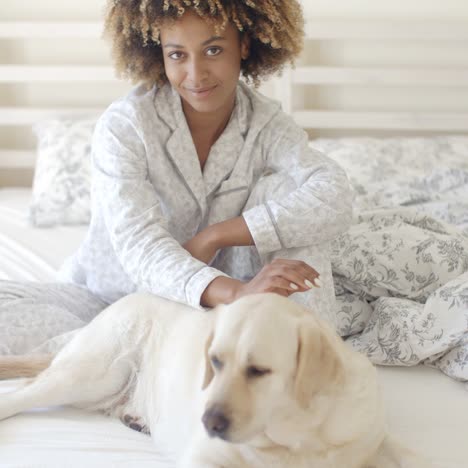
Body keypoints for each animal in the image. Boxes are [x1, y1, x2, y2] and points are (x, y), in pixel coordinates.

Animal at [0, 290, 424, 466]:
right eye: (215, 362)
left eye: (258, 370)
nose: (208, 421)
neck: (295, 438)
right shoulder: (206, 458)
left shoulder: (369, 433)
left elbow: (408, 452)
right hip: (93, 372)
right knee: (23, 392)